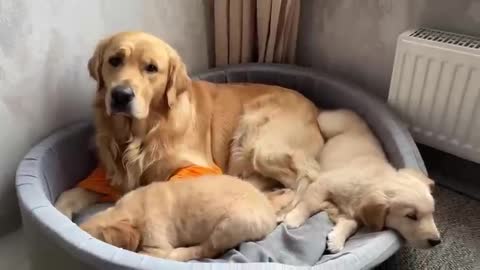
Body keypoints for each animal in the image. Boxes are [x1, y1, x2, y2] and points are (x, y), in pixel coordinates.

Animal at [56, 31, 324, 217]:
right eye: (114, 60)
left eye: (151, 68)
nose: (121, 95)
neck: (143, 132)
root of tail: (316, 110)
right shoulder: (111, 175)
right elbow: (71, 193)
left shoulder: (198, 168)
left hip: (258, 143)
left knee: (306, 178)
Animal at [284, 109, 440, 251]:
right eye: (411, 216)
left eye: (432, 213)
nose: (436, 241)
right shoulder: (323, 183)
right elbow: (309, 203)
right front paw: (294, 218)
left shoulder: (359, 214)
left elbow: (351, 224)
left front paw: (337, 239)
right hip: (326, 122)